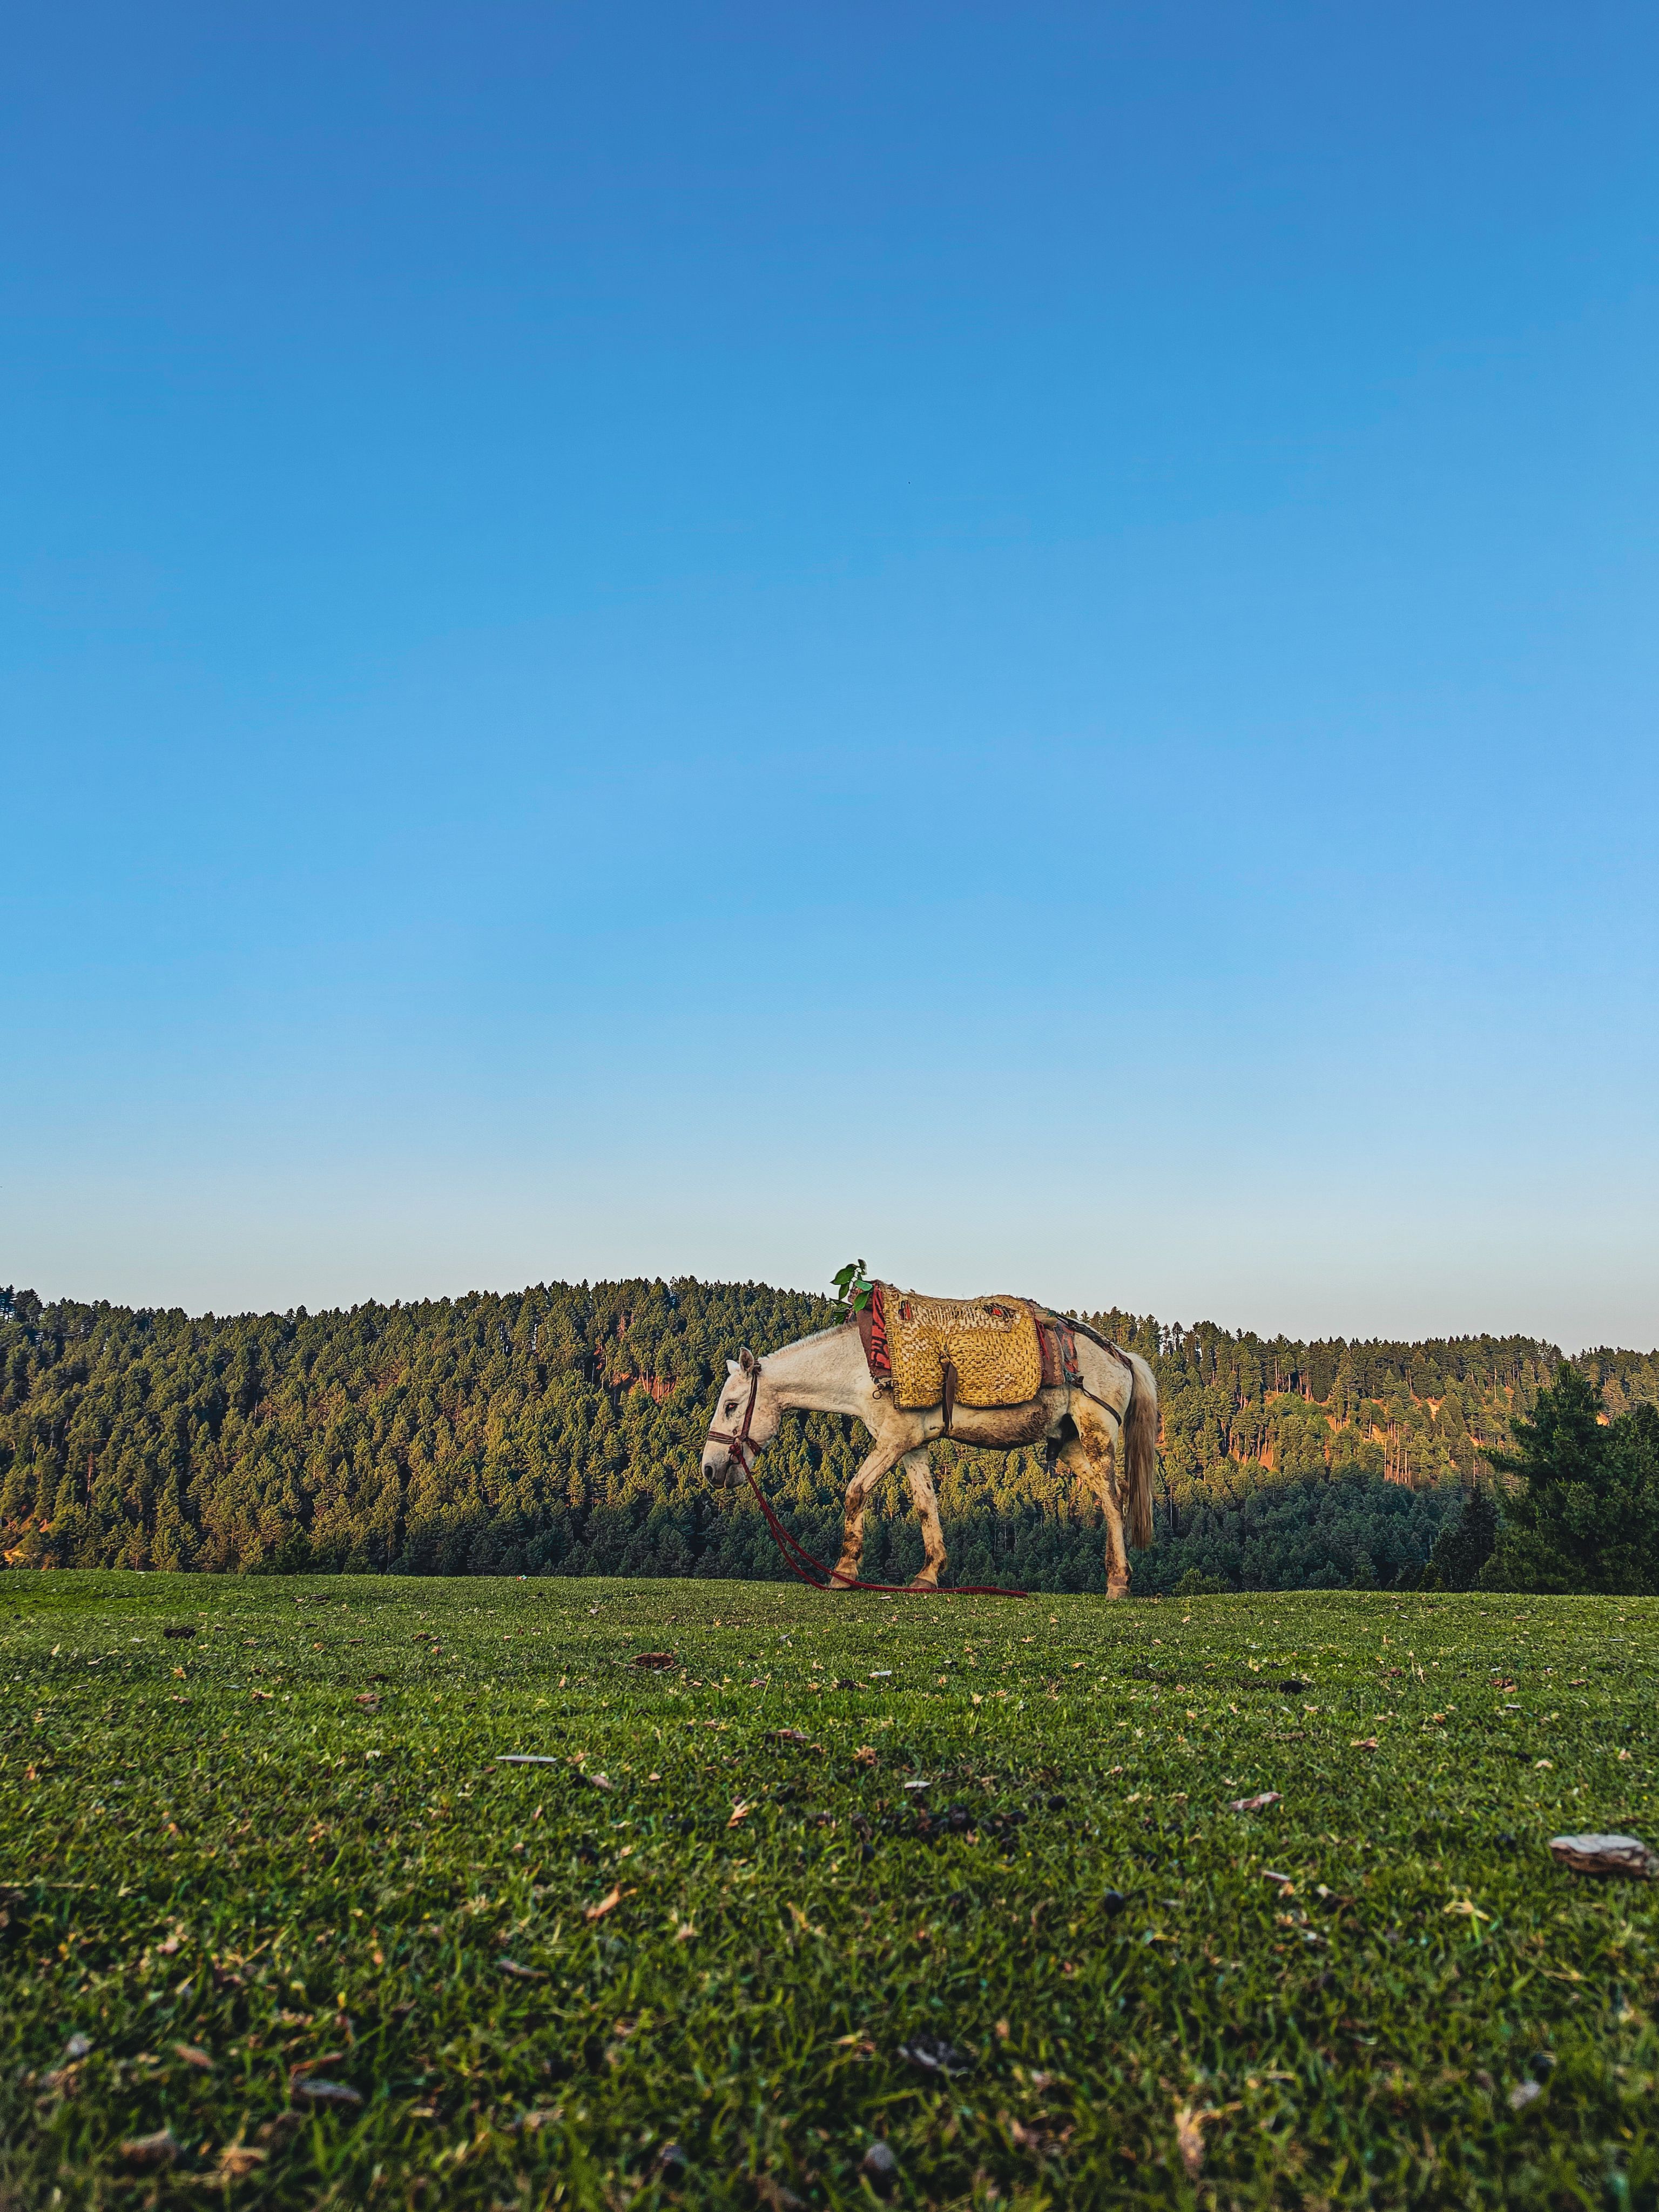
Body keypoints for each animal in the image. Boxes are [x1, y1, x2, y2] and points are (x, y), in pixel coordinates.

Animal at [698, 1313, 1158, 1596]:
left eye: (732, 1406)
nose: (710, 1469)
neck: (863, 1369)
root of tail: (1122, 1356)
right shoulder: (912, 1445)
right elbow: (925, 1505)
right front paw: (929, 1573)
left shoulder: (894, 1440)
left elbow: (855, 1492)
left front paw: (844, 1571)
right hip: (1071, 1444)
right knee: (1109, 1498)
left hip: (1096, 1434)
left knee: (1114, 1499)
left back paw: (1118, 1581)